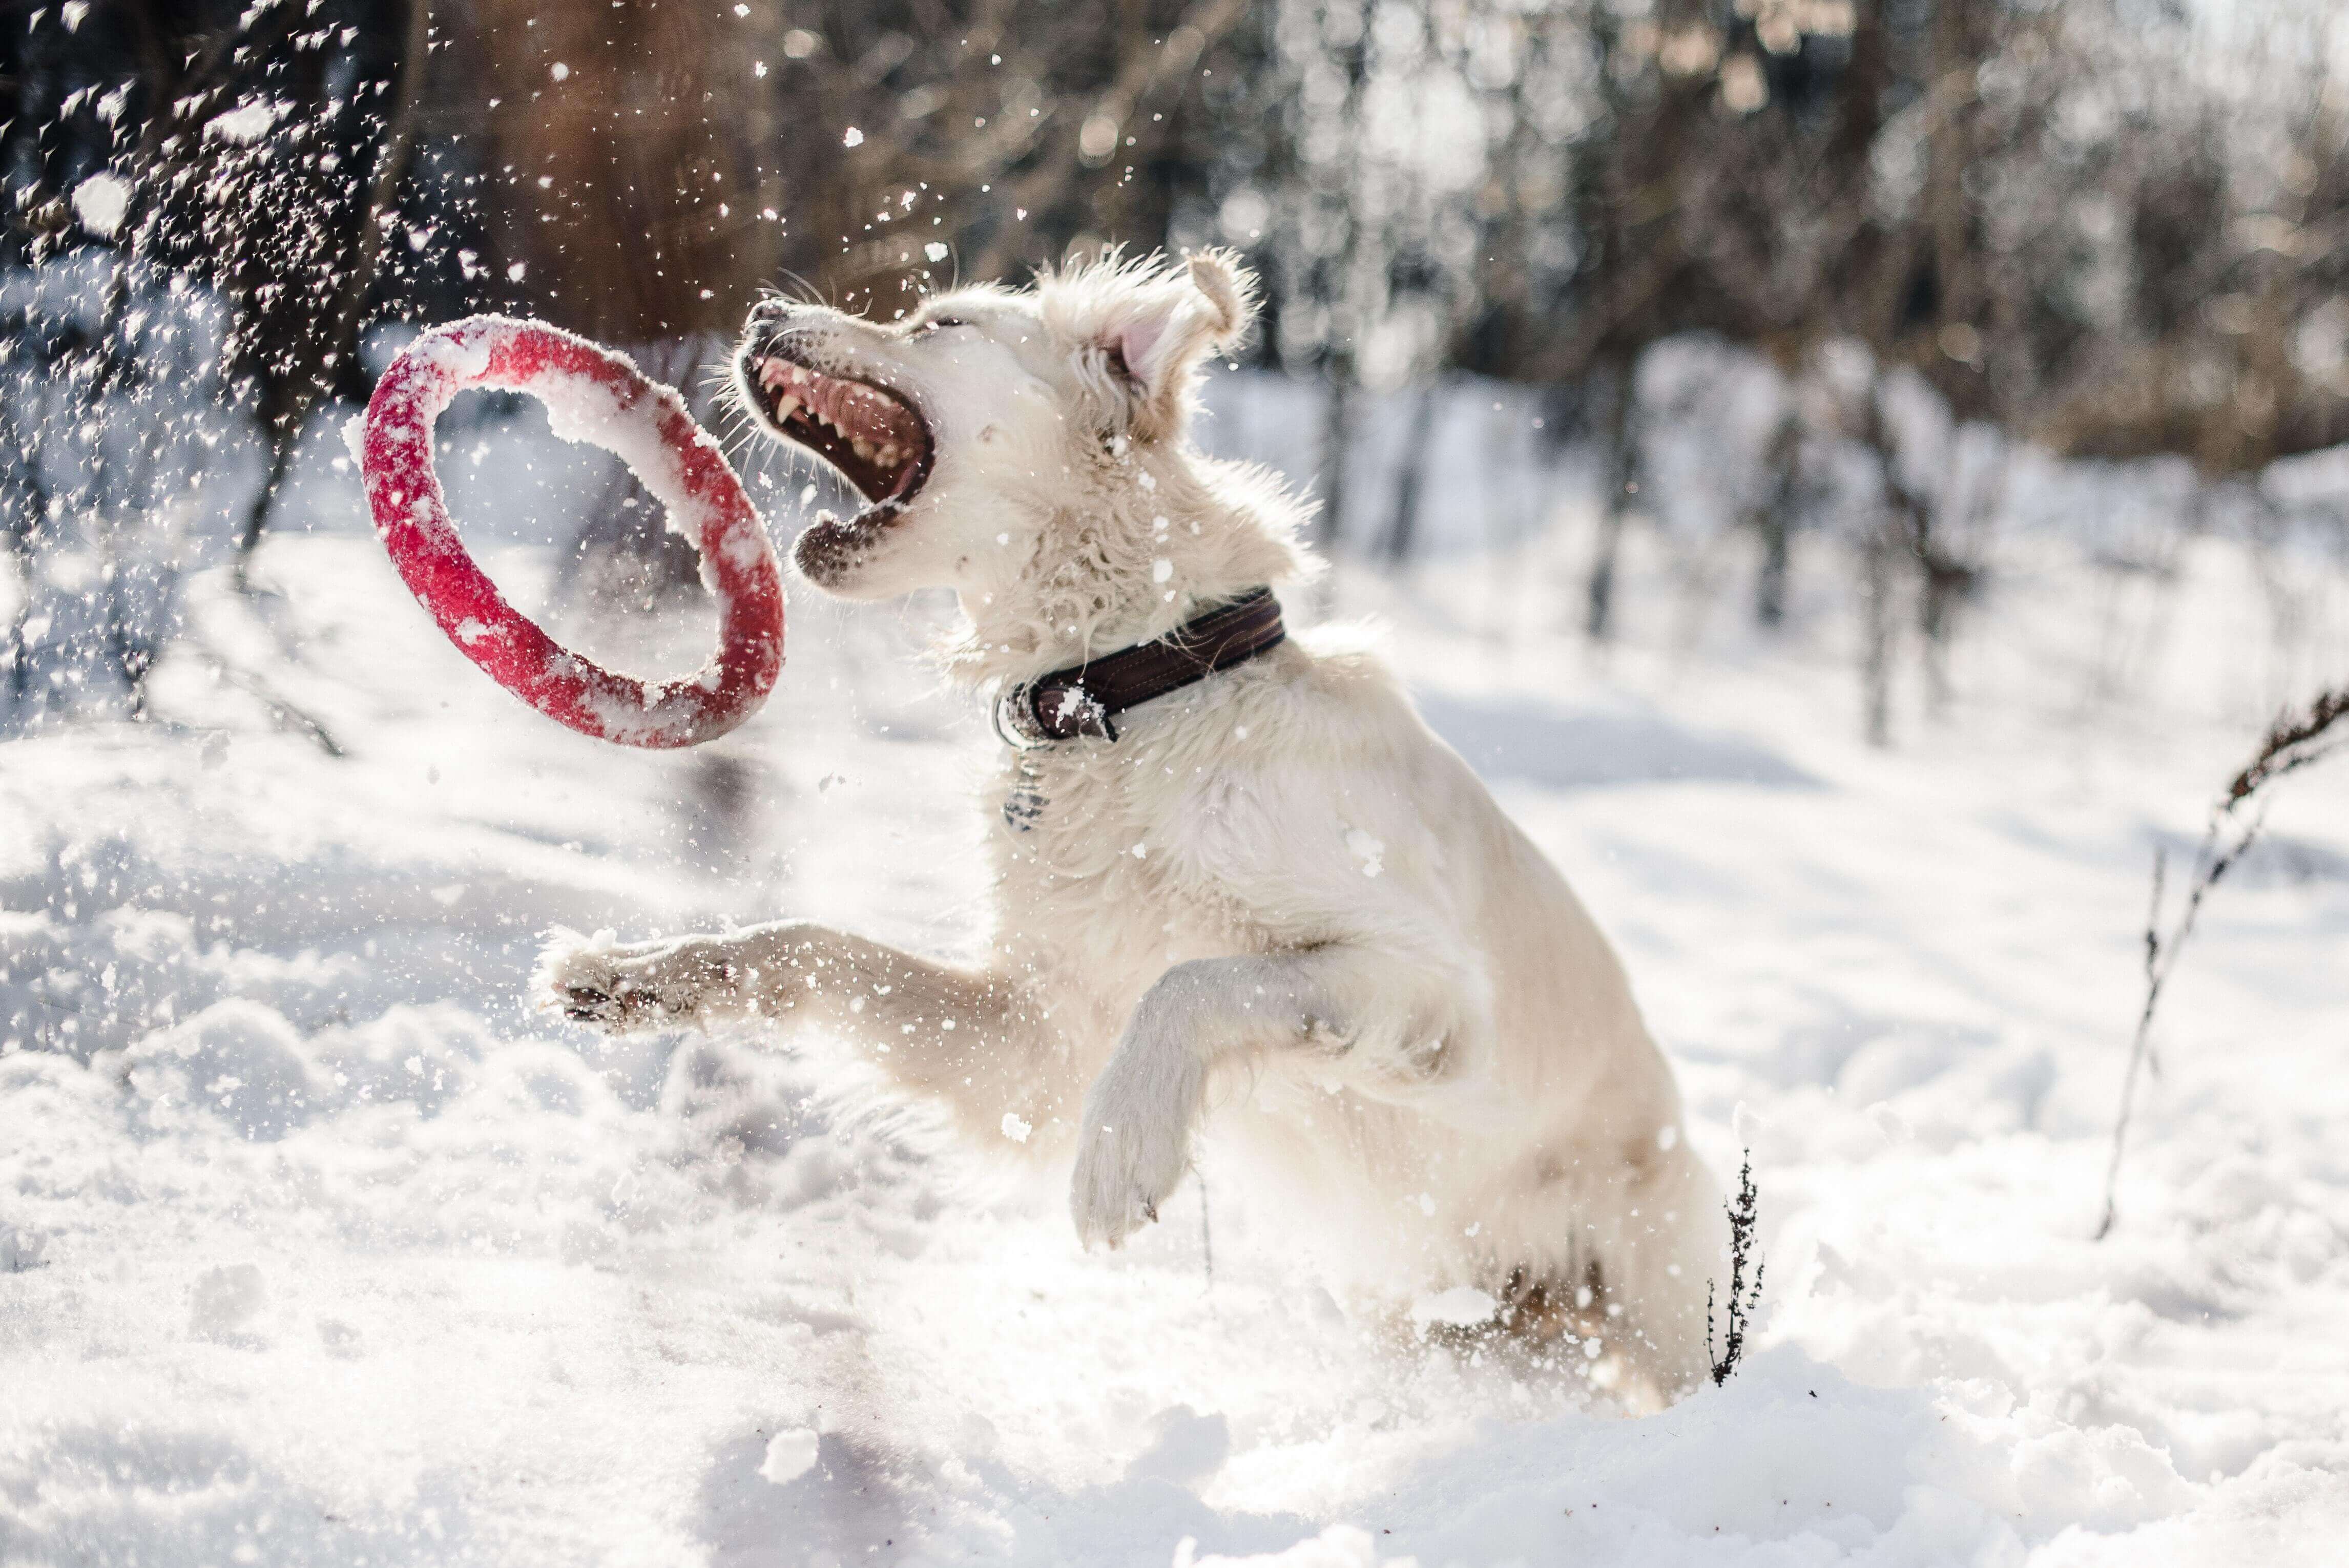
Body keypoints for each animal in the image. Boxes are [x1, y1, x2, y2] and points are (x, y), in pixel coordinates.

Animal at [545, 251, 1729, 1399]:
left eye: (940, 325)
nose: (757, 313)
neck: (1137, 691)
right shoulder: (1042, 1041)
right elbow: (813, 946)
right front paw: (638, 975)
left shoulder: (1432, 989)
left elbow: (1196, 981)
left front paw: (1121, 1156)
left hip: (1655, 1295)